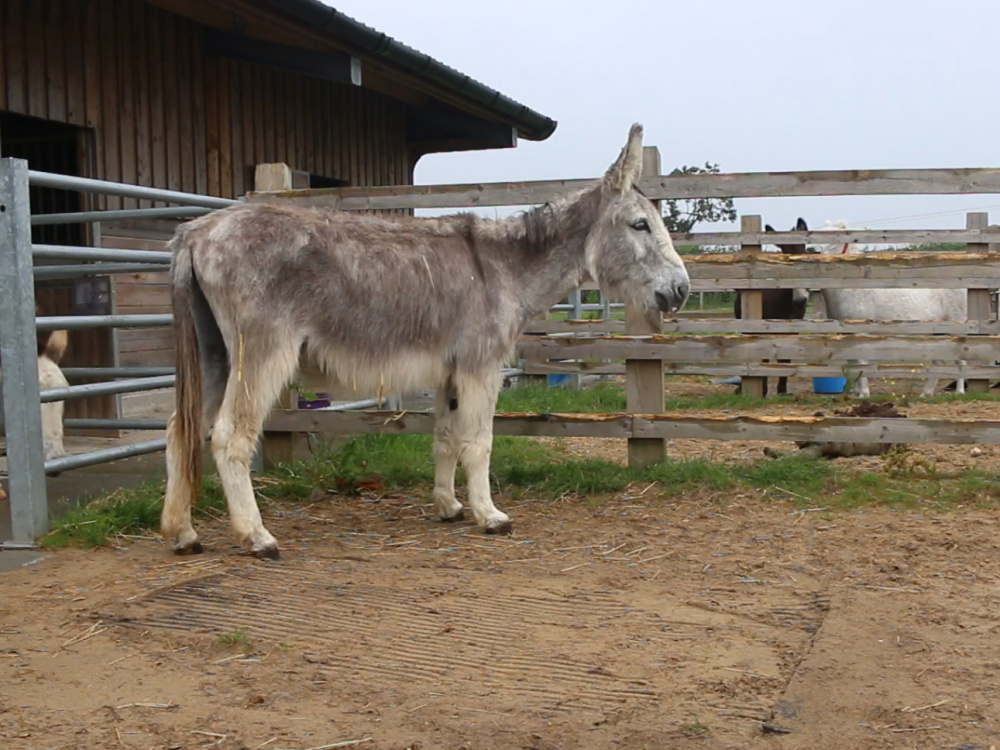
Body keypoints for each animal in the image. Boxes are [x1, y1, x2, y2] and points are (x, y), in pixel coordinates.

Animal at [812, 220, 968, 400]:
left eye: (833, 238)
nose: (811, 250)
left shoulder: (860, 331)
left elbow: (860, 361)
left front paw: (864, 394)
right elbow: (852, 362)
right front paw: (856, 392)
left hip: (957, 325)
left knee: (960, 359)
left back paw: (959, 392)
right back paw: (926, 393)